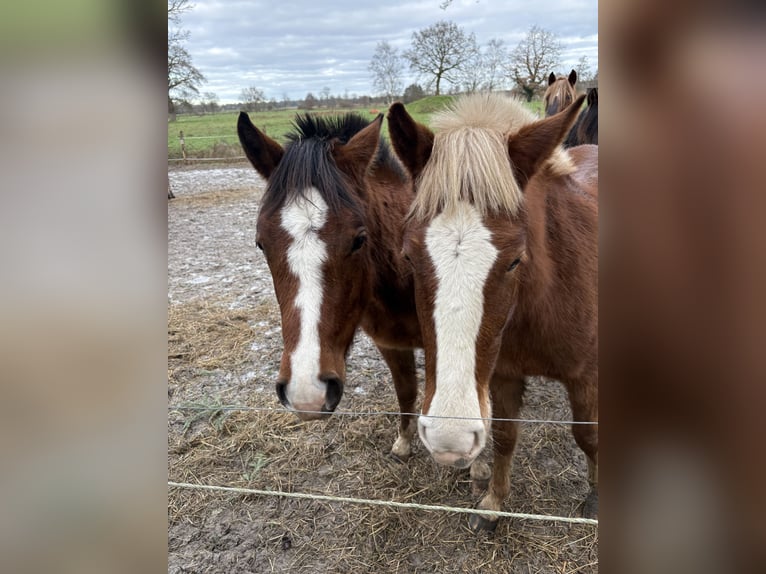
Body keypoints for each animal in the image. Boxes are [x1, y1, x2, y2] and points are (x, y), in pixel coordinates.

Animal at [237, 112, 424, 464]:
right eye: (260, 244)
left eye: (359, 239)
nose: (307, 392)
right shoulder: (391, 345)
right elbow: (406, 390)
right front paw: (405, 443)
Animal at [390, 93, 600, 532]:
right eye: (409, 257)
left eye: (515, 260)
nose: (448, 439)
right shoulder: (502, 375)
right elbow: (504, 436)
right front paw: (493, 502)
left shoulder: (587, 377)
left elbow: (589, 437)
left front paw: (596, 494)